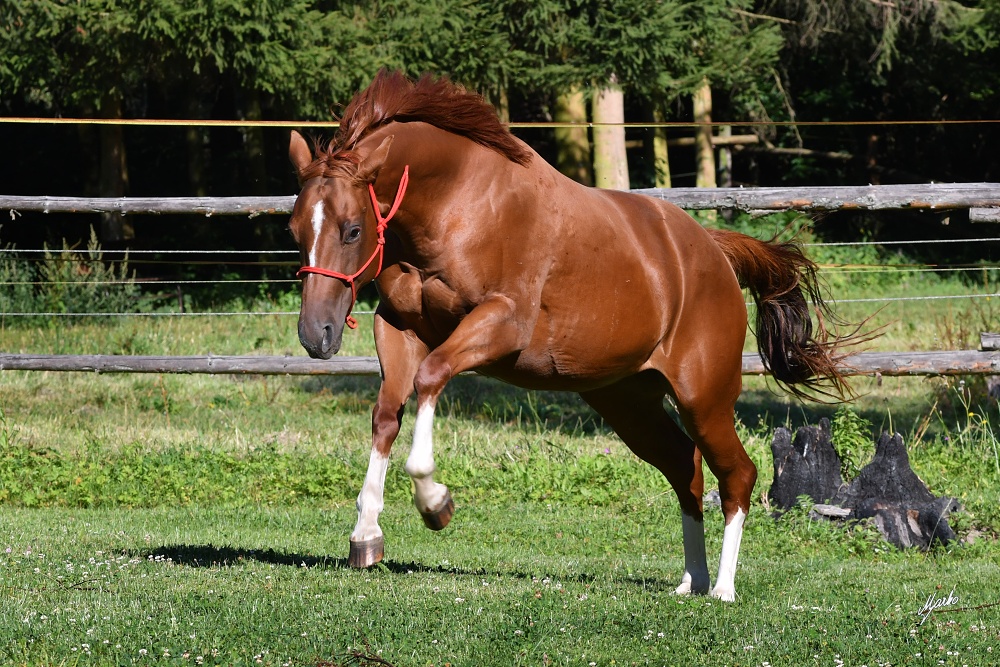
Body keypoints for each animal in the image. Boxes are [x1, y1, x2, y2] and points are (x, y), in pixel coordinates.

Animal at [288, 70, 852, 604]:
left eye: (352, 229)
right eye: (295, 231)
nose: (316, 334)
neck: (458, 202)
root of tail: (714, 250)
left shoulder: (501, 324)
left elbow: (431, 377)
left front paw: (435, 502)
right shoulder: (399, 326)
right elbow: (387, 413)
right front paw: (366, 533)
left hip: (704, 398)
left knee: (737, 475)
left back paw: (724, 589)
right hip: (627, 402)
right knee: (685, 467)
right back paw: (691, 580)